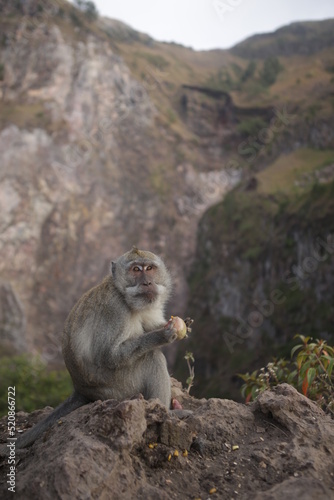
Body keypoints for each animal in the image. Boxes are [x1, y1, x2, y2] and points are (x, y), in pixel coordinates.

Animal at [7, 248, 193, 452]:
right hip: (119, 388)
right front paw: (163, 335)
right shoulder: (115, 310)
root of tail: (81, 389)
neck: (124, 295)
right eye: (136, 269)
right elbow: (110, 356)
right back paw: (168, 413)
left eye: (149, 268)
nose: (147, 282)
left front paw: (179, 324)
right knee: (152, 358)